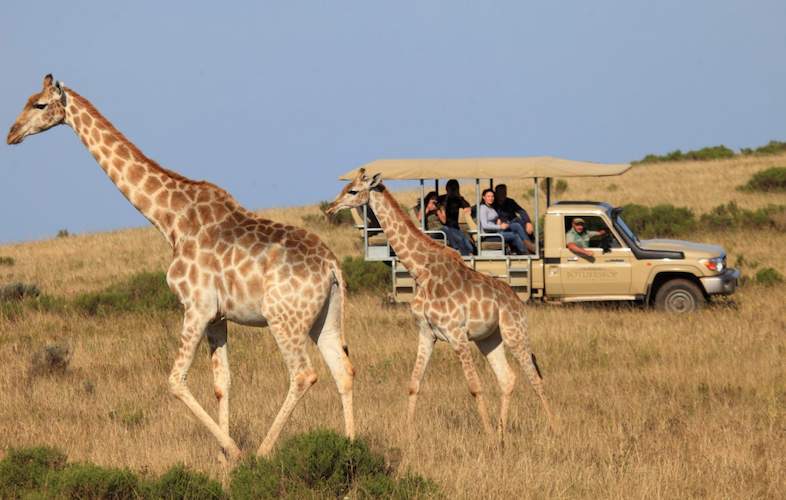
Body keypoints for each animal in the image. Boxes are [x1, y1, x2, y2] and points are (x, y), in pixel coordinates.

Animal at [7, 74, 355, 460]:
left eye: (39, 104)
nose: (12, 133)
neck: (170, 218)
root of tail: (332, 267)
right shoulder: (217, 316)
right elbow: (222, 383)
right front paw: (223, 460)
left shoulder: (196, 307)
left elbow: (175, 380)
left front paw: (234, 452)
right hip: (326, 316)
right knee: (343, 370)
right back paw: (353, 449)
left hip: (284, 318)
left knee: (303, 374)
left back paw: (264, 452)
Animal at [327, 169, 555, 441]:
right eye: (345, 187)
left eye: (352, 191)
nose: (330, 208)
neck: (421, 271)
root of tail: (519, 302)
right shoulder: (426, 332)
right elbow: (414, 383)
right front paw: (408, 433)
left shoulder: (456, 333)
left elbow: (475, 387)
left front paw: (488, 434)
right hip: (489, 338)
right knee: (507, 378)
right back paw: (502, 432)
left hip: (514, 332)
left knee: (536, 378)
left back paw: (555, 429)